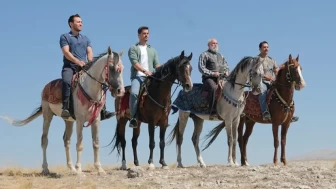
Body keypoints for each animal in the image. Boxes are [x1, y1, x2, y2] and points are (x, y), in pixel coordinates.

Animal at [0, 46, 124, 176]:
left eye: (122, 69)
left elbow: (96, 143)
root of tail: (46, 87)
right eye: (111, 67)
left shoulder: (96, 120)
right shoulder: (80, 120)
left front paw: (99, 169)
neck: (89, 89)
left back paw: (71, 168)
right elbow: (80, 144)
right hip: (47, 116)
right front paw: (79, 170)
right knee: (44, 140)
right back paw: (46, 169)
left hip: (68, 121)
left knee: (66, 140)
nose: (120, 91)